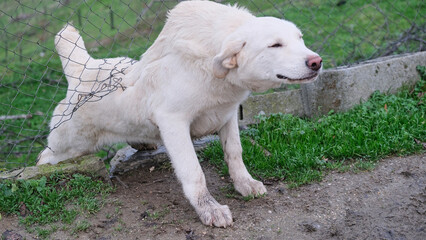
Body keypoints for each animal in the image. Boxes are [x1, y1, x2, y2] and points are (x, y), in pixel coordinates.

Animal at [38, 0, 322, 228]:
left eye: (300, 39)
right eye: (275, 45)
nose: (316, 62)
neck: (211, 70)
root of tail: (83, 70)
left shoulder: (228, 115)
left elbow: (235, 154)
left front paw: (245, 184)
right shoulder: (173, 122)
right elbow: (194, 173)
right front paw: (209, 209)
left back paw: (141, 141)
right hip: (67, 146)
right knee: (44, 157)